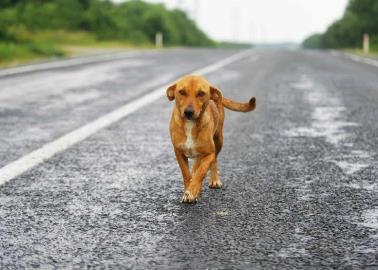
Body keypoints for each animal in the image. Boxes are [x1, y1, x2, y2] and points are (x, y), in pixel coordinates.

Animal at [167, 74, 255, 202]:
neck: (190, 125)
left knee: (213, 163)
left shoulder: (209, 153)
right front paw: (189, 190)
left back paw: (214, 180)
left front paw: (192, 192)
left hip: (219, 141)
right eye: (182, 92)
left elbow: (201, 172)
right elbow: (186, 174)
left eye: (201, 93)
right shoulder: (179, 153)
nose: (188, 112)